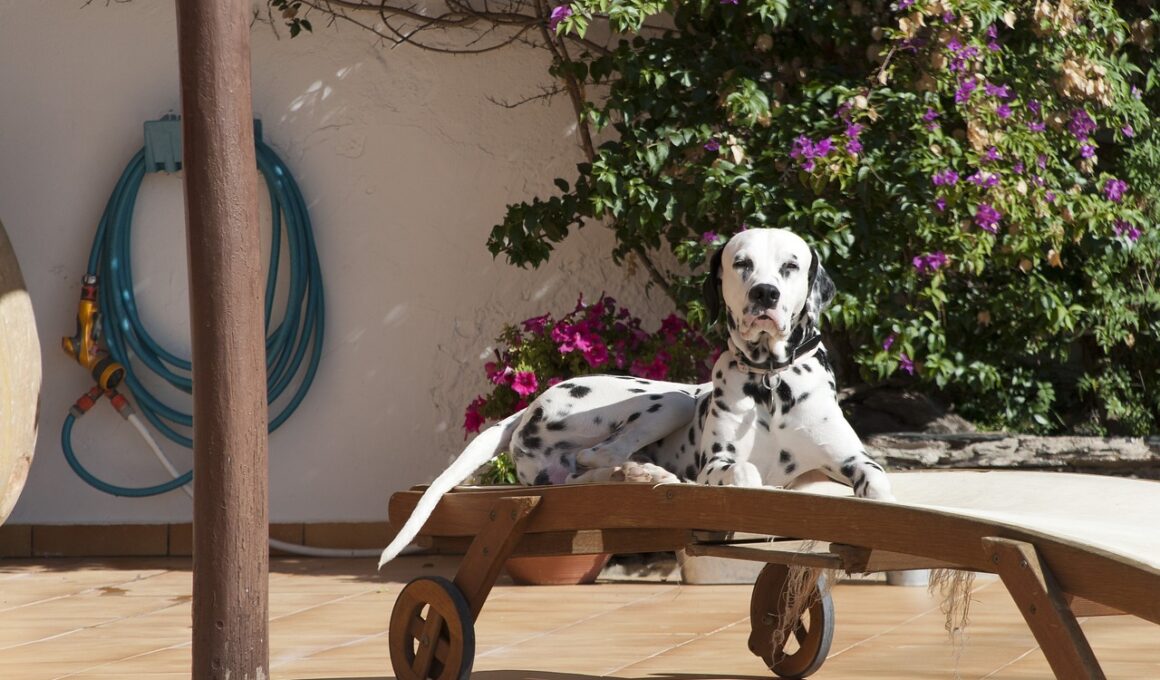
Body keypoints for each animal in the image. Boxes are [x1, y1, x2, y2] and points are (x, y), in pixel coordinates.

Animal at [379, 228, 892, 567]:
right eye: (741, 263)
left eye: (791, 265)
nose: (765, 294)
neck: (769, 383)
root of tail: (527, 405)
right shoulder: (717, 462)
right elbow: (742, 471)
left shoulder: (853, 458)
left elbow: (877, 478)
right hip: (671, 399)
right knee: (598, 455)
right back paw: (650, 474)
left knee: (587, 473)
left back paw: (643, 475)